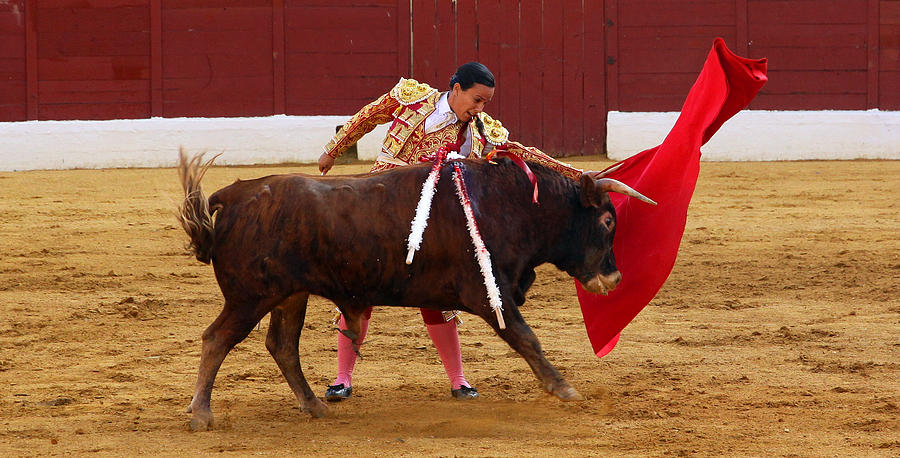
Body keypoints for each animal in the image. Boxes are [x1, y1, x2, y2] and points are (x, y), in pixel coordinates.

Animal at [176, 152, 652, 432]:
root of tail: (234, 195)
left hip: (289, 295)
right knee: (218, 339)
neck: (512, 204)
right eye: (607, 221)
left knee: (282, 345)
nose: (614, 279)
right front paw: (563, 388)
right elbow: (525, 337)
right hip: (249, 297)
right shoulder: (490, 291)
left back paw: (314, 406)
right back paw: (201, 414)